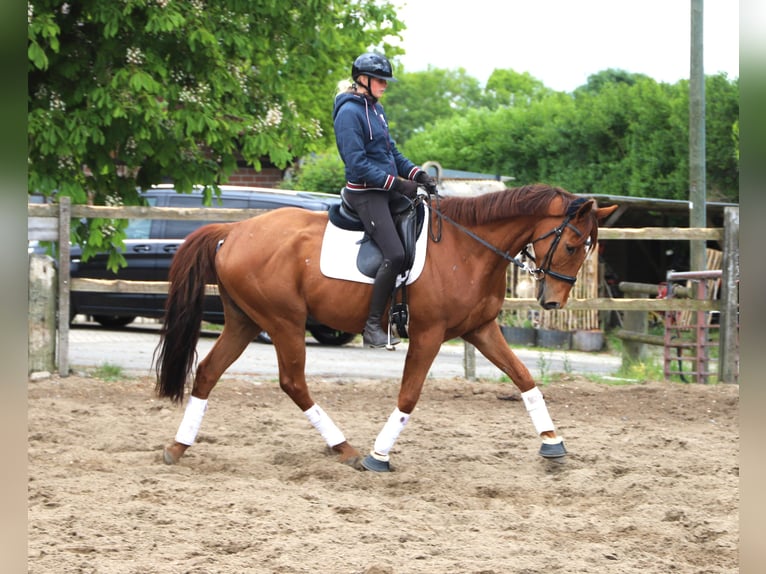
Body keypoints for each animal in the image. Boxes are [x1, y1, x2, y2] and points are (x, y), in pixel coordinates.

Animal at [154, 184, 618, 472]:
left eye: (587, 248)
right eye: (572, 245)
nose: (553, 302)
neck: (467, 249)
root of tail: (233, 229)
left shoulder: (481, 329)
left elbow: (524, 378)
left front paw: (553, 443)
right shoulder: (429, 334)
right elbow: (409, 395)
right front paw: (379, 456)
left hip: (245, 321)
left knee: (208, 372)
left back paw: (178, 447)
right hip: (282, 321)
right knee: (292, 382)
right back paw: (346, 448)